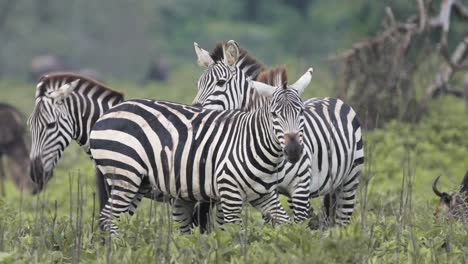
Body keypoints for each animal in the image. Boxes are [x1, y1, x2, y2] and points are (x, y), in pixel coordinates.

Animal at [89, 68, 312, 235]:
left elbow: (284, 225)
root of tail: (104, 116)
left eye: (301, 111)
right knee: (109, 218)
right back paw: (117, 249)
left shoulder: (263, 195)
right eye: (274, 114)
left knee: (115, 218)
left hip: (139, 182)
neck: (253, 144)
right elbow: (234, 235)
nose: (294, 150)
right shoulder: (229, 195)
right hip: (125, 175)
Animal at [192, 41, 364, 227]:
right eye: (198, 84)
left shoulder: (298, 187)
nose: (195, 111)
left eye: (221, 82)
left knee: (341, 221)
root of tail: (331, 98)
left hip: (349, 181)